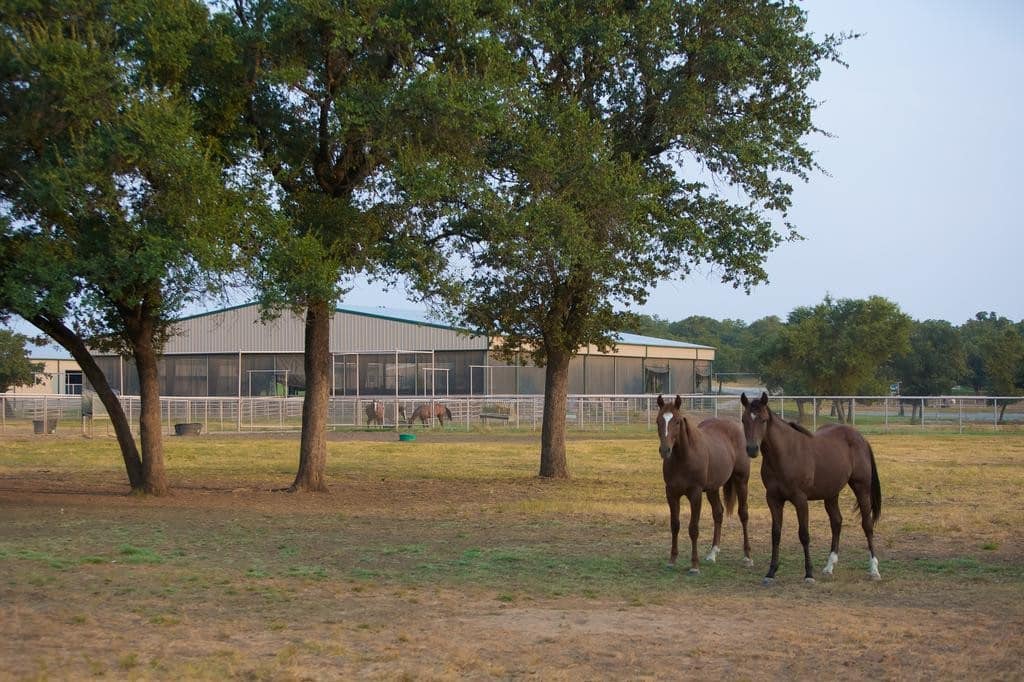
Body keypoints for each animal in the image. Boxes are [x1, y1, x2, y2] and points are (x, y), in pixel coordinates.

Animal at [656, 395, 753, 574]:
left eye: (677, 421)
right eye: (658, 420)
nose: (665, 450)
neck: (684, 457)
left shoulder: (695, 494)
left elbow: (693, 529)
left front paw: (694, 565)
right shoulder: (671, 493)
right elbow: (675, 525)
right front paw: (672, 560)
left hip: (741, 482)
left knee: (743, 514)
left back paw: (747, 557)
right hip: (712, 489)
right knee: (718, 513)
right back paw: (712, 553)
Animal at [740, 392, 882, 585]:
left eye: (763, 420)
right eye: (744, 420)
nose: (752, 449)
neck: (786, 454)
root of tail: (860, 438)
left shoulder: (800, 500)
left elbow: (804, 535)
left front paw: (809, 574)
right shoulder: (773, 499)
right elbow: (776, 534)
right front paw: (771, 572)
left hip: (861, 488)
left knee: (867, 525)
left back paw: (874, 569)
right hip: (831, 494)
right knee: (836, 522)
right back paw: (829, 567)